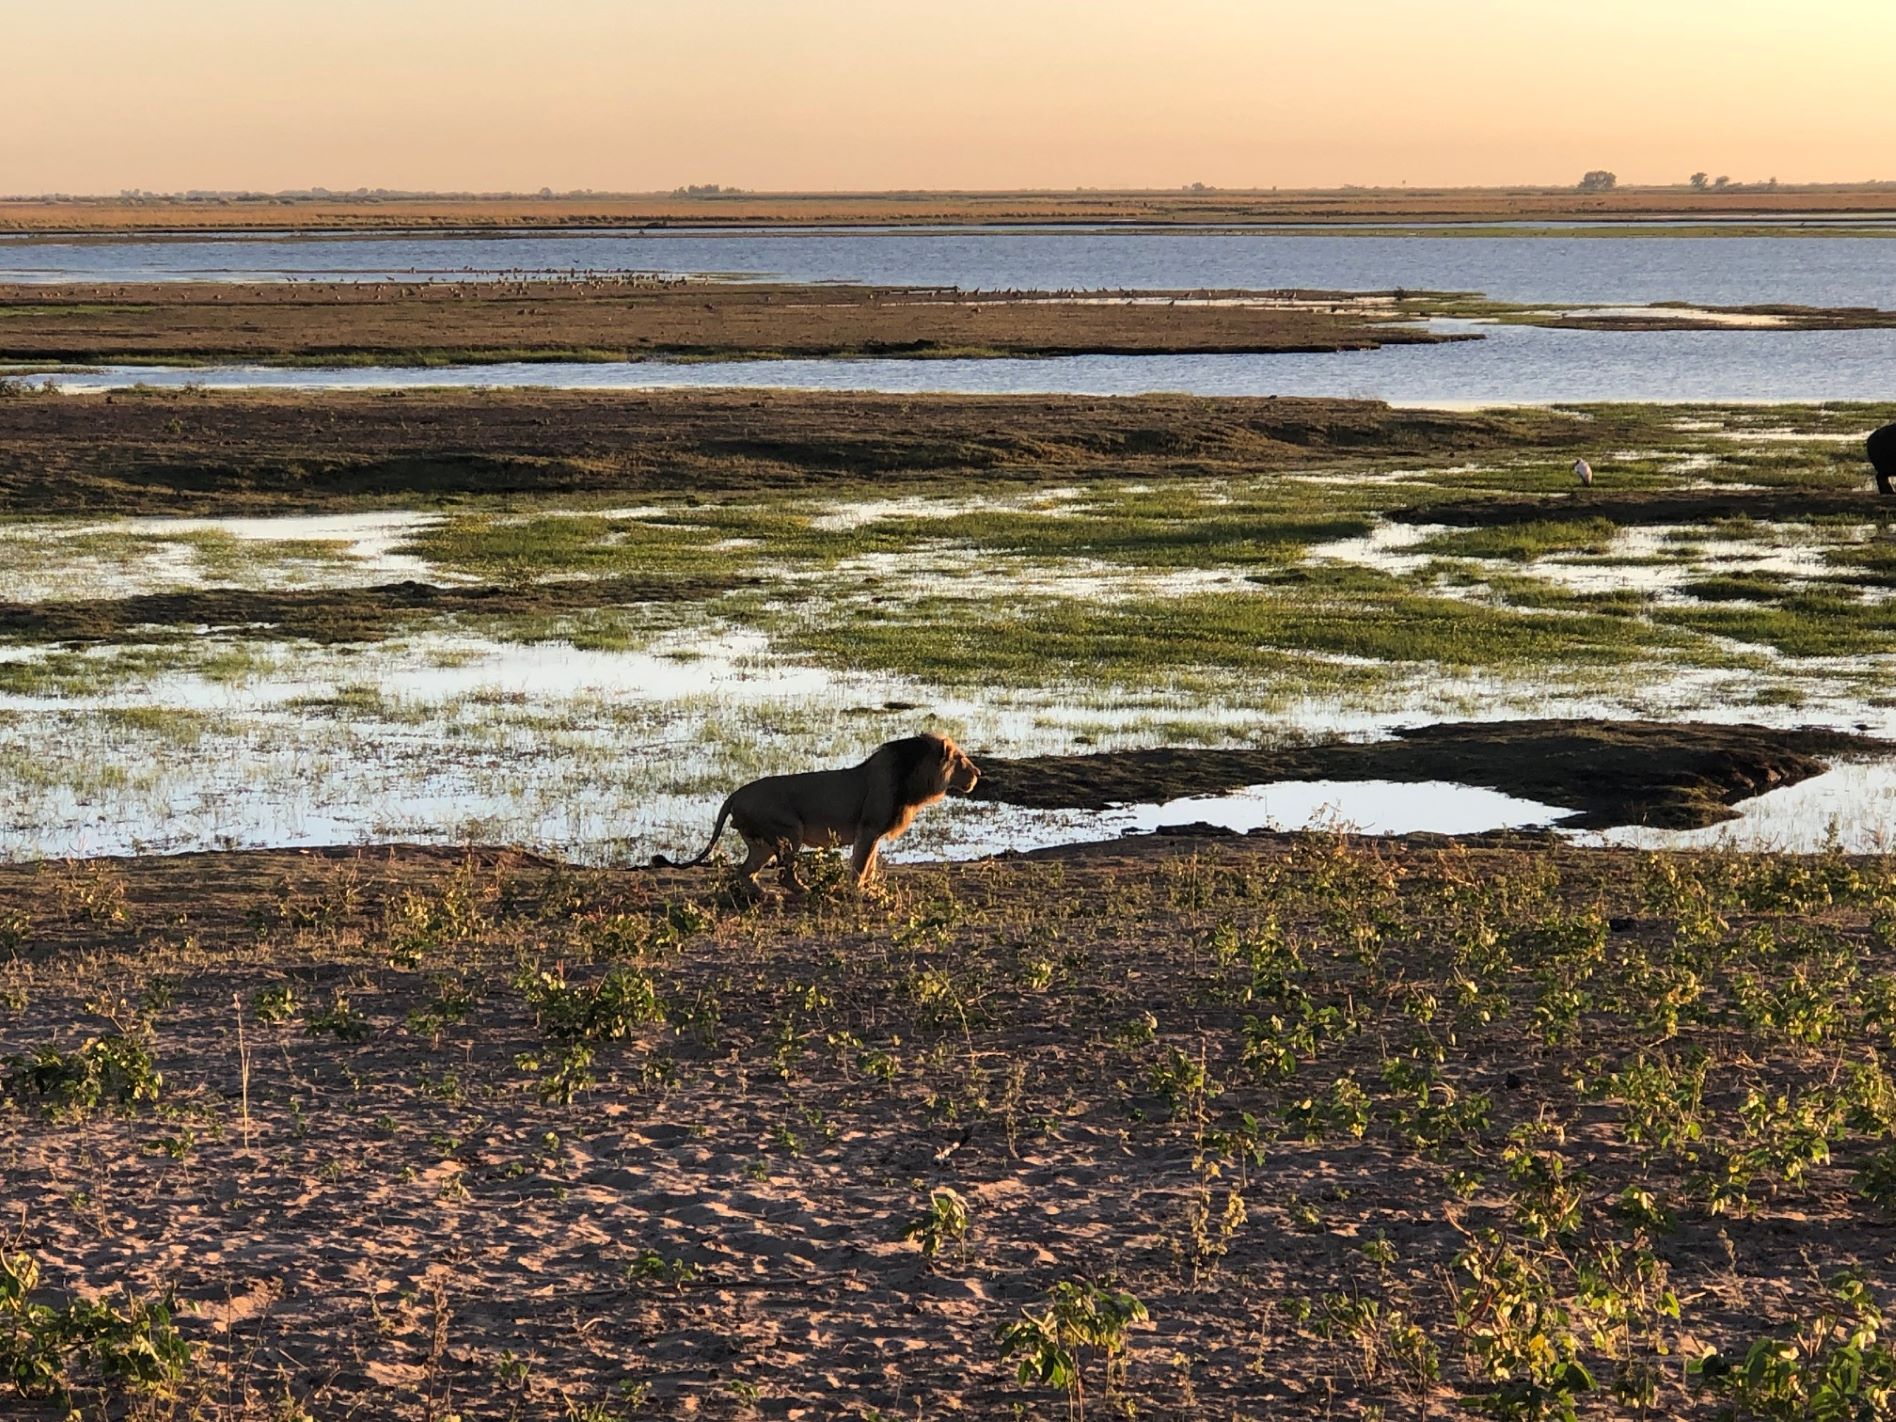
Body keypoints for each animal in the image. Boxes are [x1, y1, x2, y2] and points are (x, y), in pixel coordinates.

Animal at [656, 735, 978, 891]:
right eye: (961, 759)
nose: (978, 773)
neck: (911, 776)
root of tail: (734, 794)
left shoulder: (873, 833)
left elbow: (870, 865)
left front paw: (871, 888)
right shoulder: (868, 829)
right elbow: (860, 866)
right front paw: (859, 892)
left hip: (762, 843)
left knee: (744, 872)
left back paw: (762, 895)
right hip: (790, 832)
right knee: (784, 875)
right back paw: (801, 890)